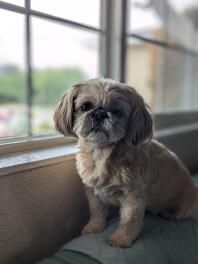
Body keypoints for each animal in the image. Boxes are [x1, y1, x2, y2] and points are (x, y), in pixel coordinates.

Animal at [53, 78, 198, 248]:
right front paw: (94, 226)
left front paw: (121, 239)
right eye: (85, 106)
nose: (100, 113)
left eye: (117, 111)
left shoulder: (133, 199)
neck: (102, 153)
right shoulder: (92, 191)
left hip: (183, 205)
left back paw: (169, 213)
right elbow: (97, 210)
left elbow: (128, 221)